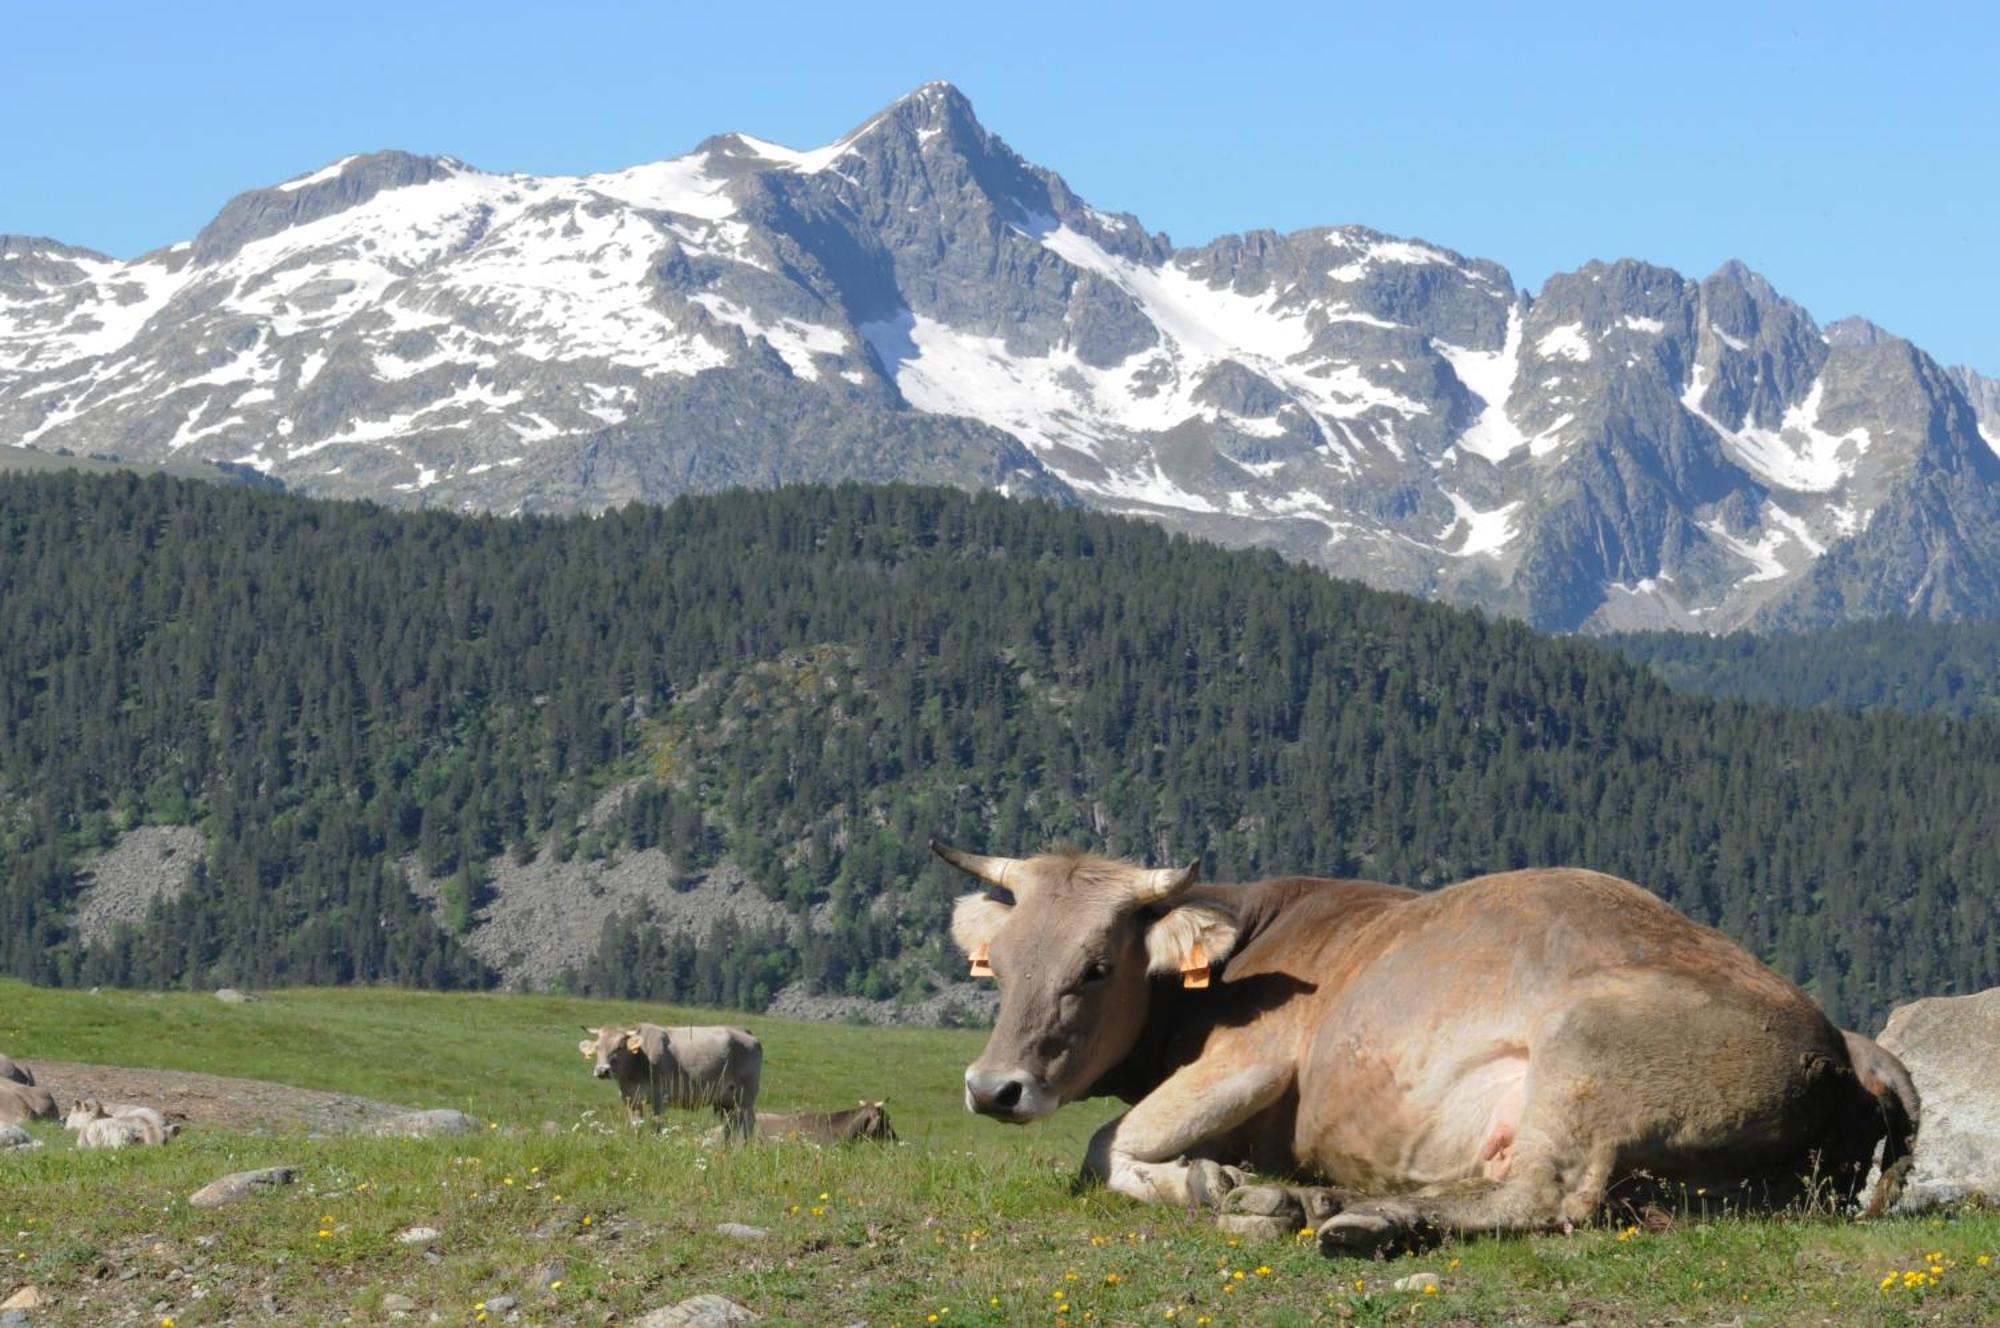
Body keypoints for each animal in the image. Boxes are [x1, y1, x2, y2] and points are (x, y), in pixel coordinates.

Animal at [584, 1024, 764, 1144]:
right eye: (597, 1047)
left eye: (619, 1047)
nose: (602, 1070)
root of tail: (742, 1031)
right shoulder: (632, 1099)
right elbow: (636, 1125)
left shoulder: (659, 1096)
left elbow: (658, 1124)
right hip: (727, 1100)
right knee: (730, 1125)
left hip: (746, 1095)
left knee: (748, 1123)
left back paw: (745, 1149)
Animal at [936, 840, 1920, 1256]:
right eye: (999, 965)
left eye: (1097, 966)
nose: (992, 1087)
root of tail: (1845, 1047)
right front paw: (1232, 1180)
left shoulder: (1259, 1055)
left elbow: (1109, 1146)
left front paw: (1201, 1180)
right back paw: (1306, 1198)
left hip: (1585, 1050)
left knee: (1547, 1195)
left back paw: (1359, 1221)